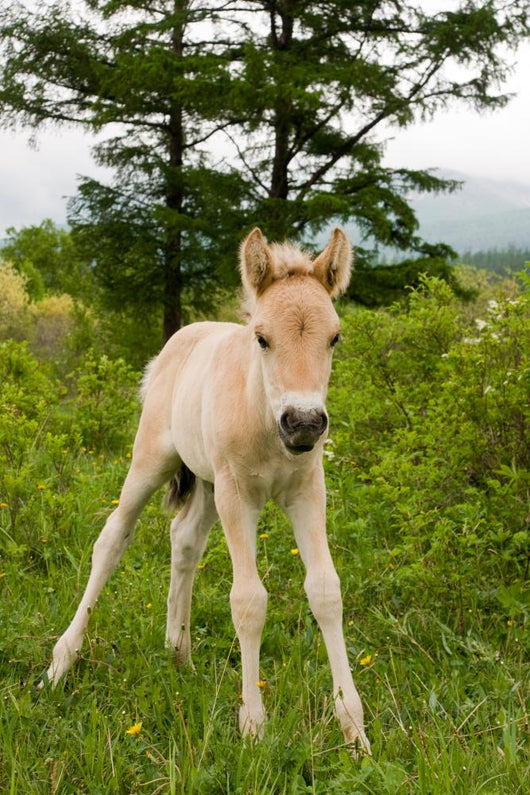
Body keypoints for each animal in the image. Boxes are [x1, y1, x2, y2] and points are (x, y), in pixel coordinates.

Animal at [42, 227, 370, 754]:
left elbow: (325, 590)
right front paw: (253, 727)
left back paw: (179, 655)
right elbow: (249, 600)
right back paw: (61, 663)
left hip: (208, 483)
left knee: (185, 540)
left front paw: (354, 732)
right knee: (112, 538)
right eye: (262, 338)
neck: (263, 419)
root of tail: (177, 341)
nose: (303, 423)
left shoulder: (307, 492)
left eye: (335, 337)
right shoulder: (237, 496)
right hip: (153, 460)